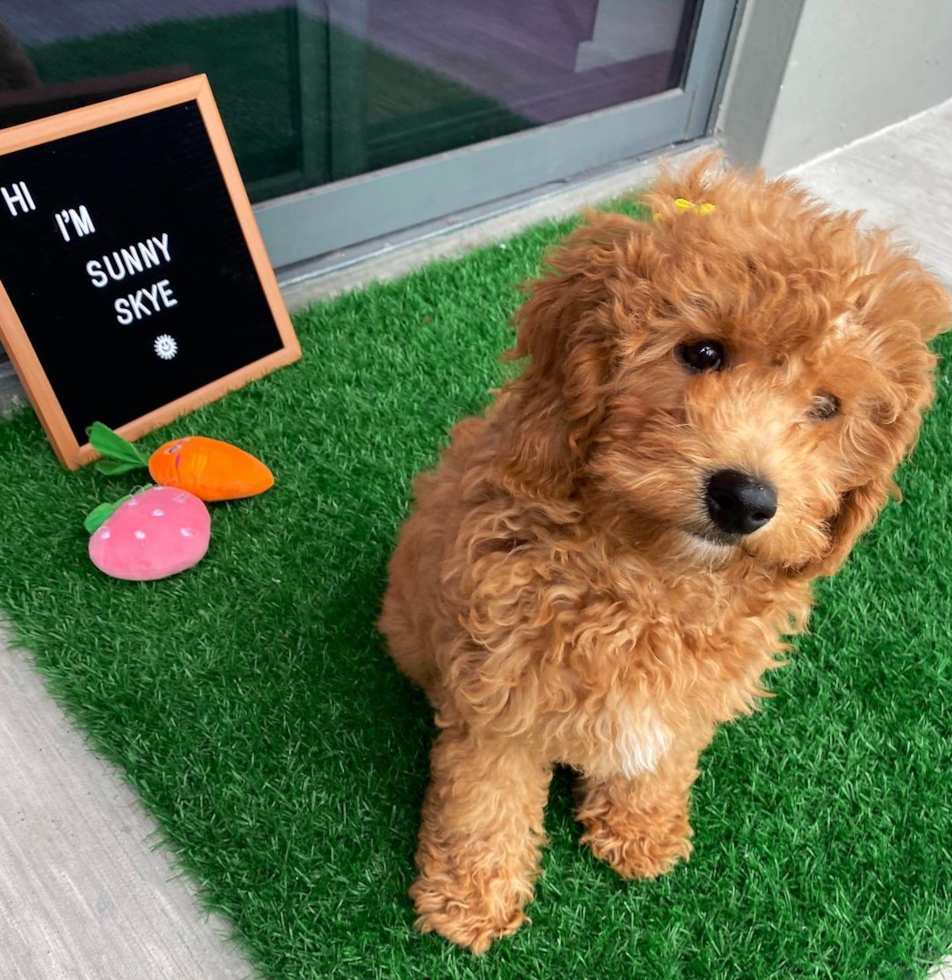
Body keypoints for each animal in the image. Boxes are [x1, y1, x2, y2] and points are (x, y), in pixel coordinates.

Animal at [378, 157, 944, 952]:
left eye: (828, 406)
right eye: (702, 352)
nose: (746, 499)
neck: (651, 577)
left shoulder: (682, 697)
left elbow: (658, 761)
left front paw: (640, 831)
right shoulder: (501, 697)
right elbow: (483, 804)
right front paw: (470, 901)